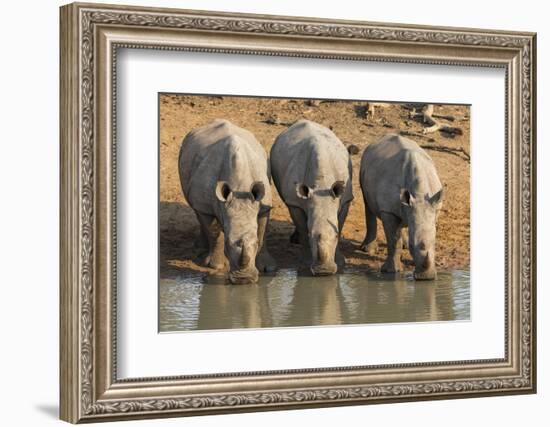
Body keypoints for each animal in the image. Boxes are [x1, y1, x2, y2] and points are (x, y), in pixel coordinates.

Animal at [180, 119, 278, 284]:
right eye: (227, 244)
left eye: (255, 243)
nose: (244, 280)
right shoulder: (207, 205)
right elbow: (214, 232)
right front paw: (216, 266)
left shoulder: (264, 205)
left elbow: (262, 231)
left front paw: (268, 267)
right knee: (197, 210)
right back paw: (199, 250)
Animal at [270, 120, 354, 276]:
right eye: (311, 235)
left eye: (335, 237)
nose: (324, 271)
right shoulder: (295, 203)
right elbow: (303, 227)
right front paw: (305, 262)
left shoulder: (345, 199)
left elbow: (339, 225)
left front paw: (340, 262)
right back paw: (294, 240)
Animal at [360, 134, 446, 280]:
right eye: (412, 245)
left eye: (436, 243)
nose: (426, 277)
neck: (420, 194)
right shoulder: (388, 210)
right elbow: (394, 241)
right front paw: (391, 271)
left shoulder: (434, 206)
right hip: (364, 164)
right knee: (367, 203)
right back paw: (368, 249)